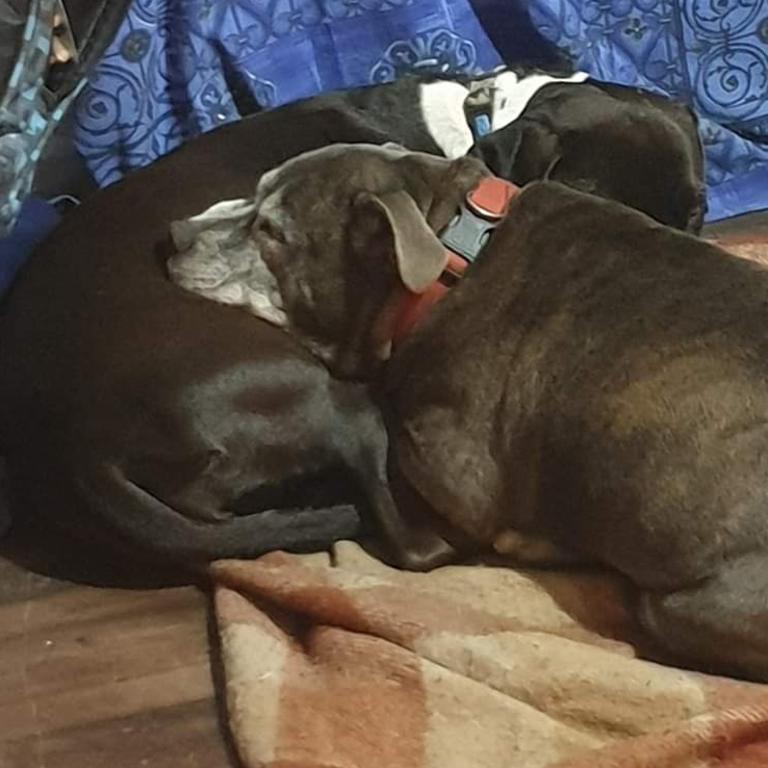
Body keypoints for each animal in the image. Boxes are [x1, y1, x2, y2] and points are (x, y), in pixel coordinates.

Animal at [168, 142, 768, 680]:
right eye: (255, 190)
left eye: (272, 232)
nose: (172, 233)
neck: (450, 253)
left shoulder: (457, 482)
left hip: (671, 606)